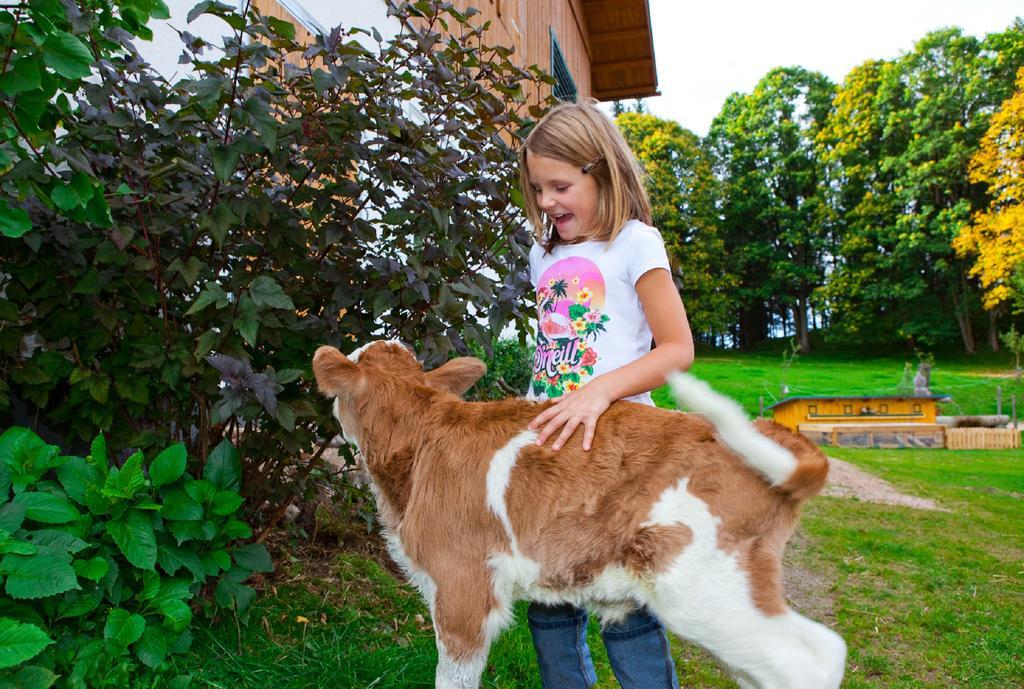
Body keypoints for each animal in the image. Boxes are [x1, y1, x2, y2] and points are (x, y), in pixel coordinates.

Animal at [311, 341, 847, 683]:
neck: (422, 437)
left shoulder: (462, 585)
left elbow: (455, 677)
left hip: (699, 589)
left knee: (807, 661)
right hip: (735, 591)